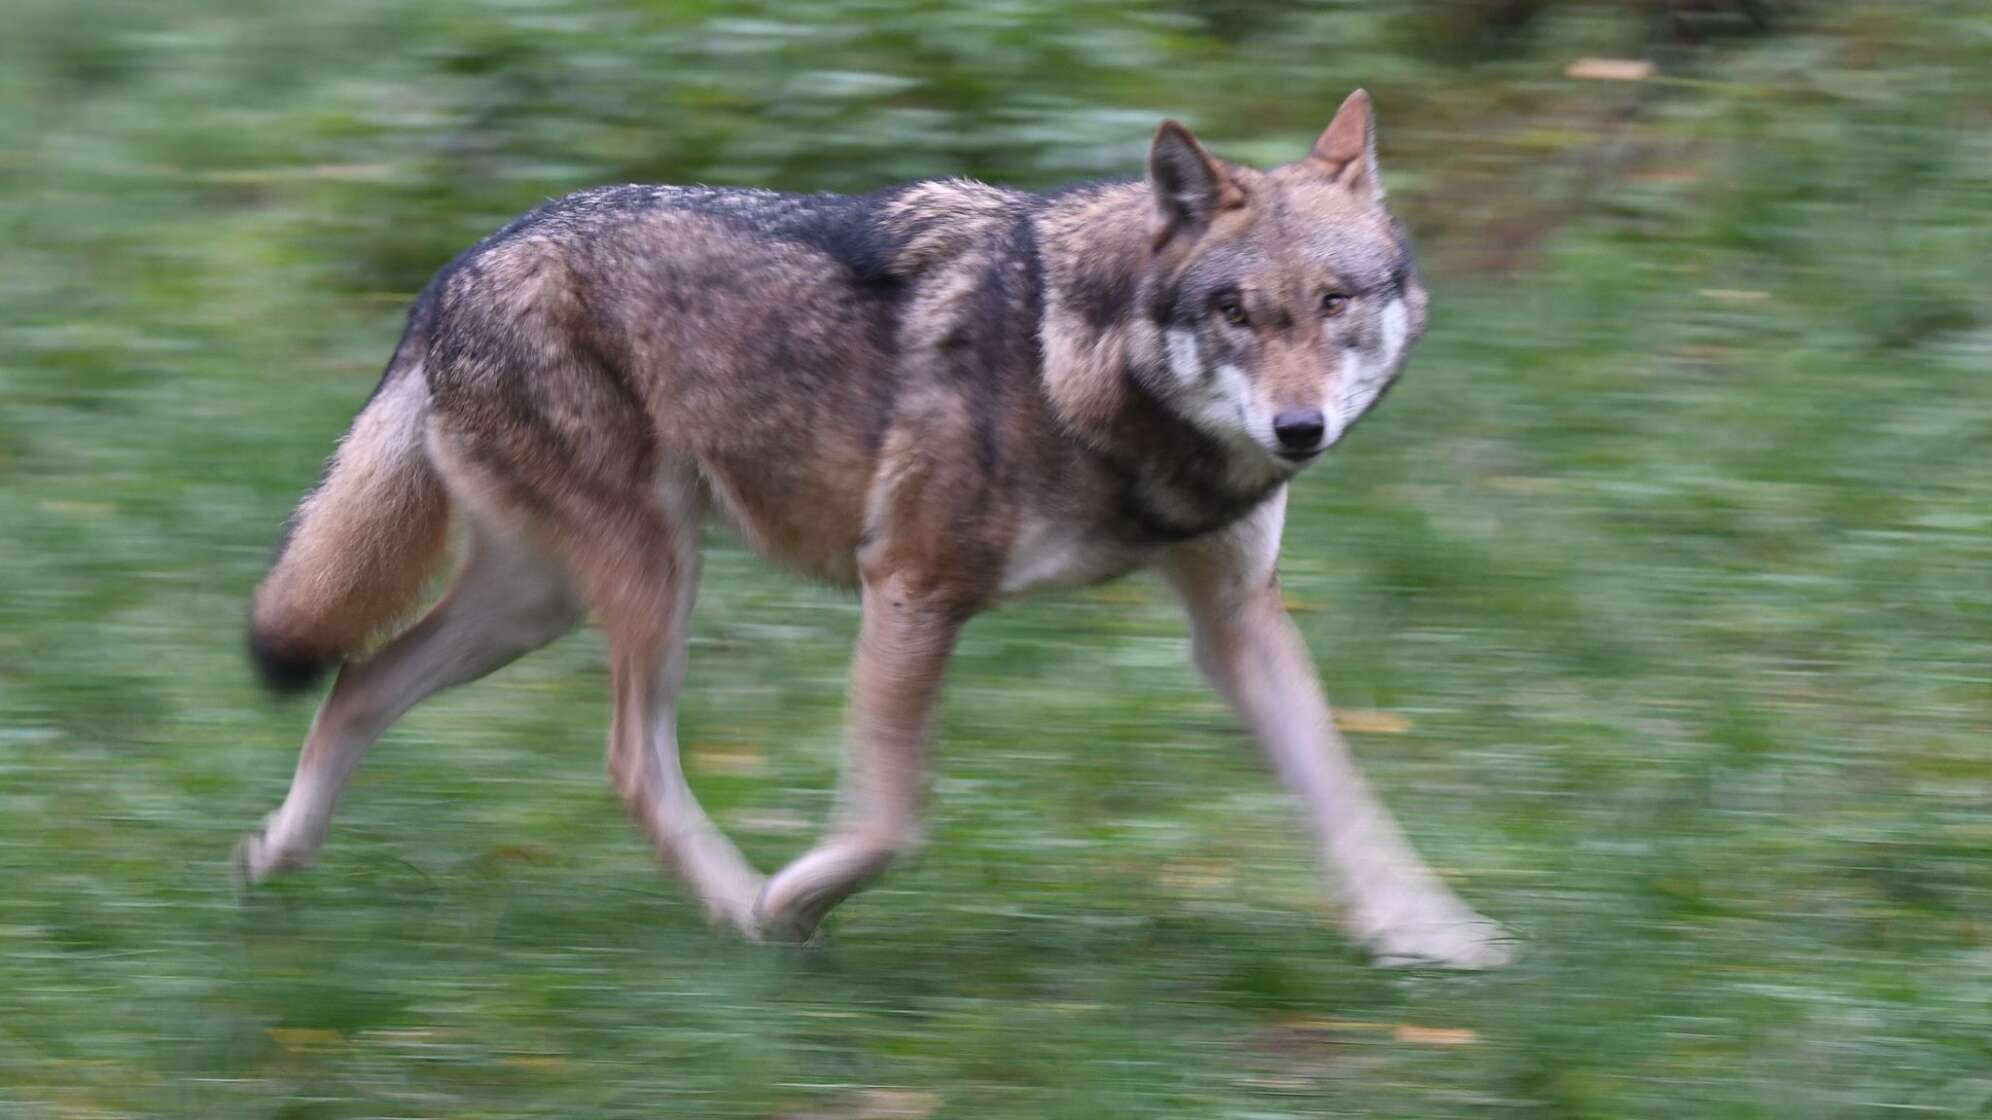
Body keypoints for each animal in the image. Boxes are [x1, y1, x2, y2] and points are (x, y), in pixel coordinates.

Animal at [237, 90, 1512, 968]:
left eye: (1334, 302)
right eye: (1238, 312)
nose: (1299, 429)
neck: (1089, 370)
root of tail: (452, 270)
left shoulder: (1236, 621)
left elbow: (1344, 793)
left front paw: (1432, 937)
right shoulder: (910, 585)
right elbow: (893, 820)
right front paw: (794, 896)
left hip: (538, 601)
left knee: (359, 679)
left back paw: (274, 857)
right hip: (649, 579)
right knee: (627, 762)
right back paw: (740, 911)